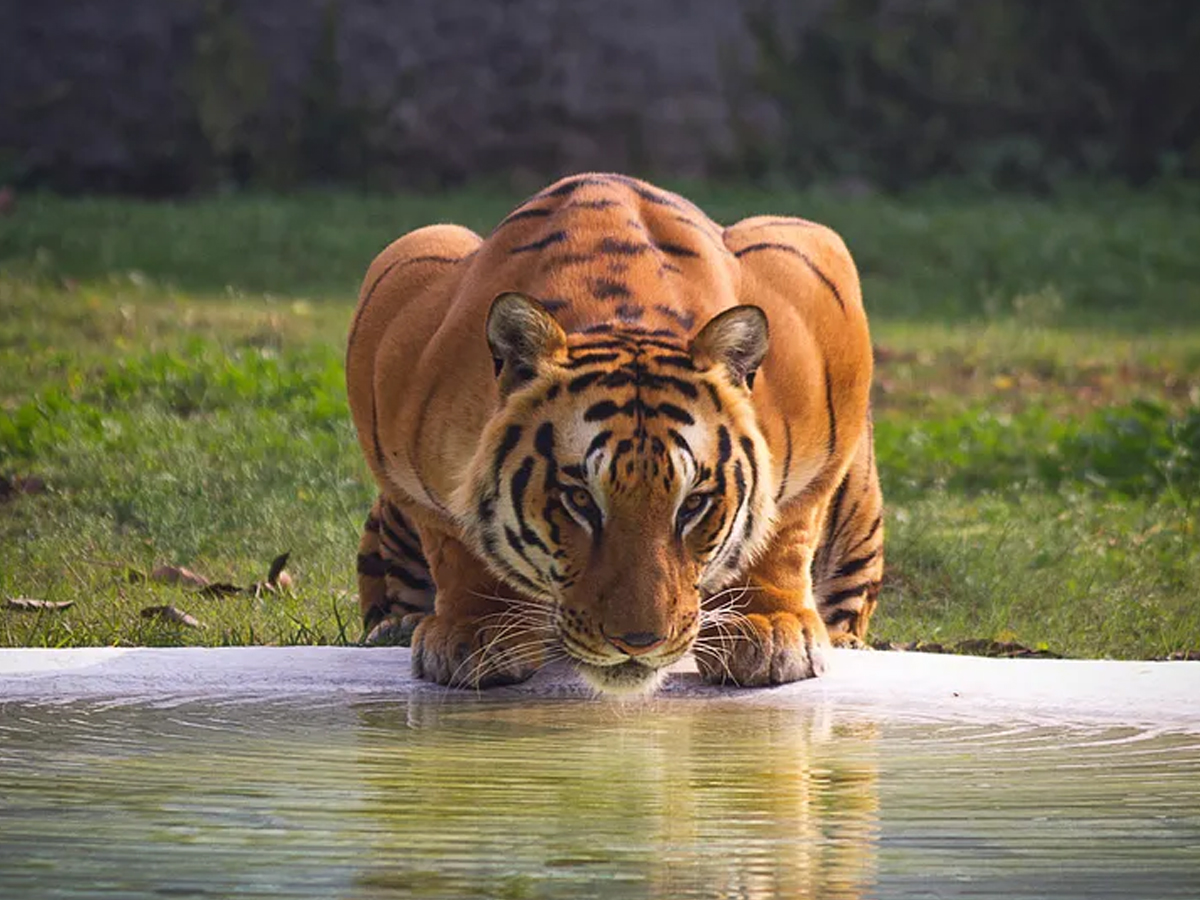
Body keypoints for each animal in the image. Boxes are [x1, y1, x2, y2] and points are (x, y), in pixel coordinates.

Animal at [346, 173, 883, 694]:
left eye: (693, 504)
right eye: (580, 500)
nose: (639, 643)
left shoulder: (817, 281)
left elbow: (787, 527)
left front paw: (769, 629)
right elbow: (453, 541)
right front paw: (475, 632)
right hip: (426, 242)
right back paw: (397, 627)